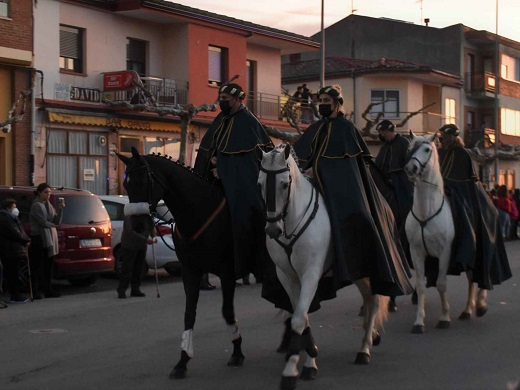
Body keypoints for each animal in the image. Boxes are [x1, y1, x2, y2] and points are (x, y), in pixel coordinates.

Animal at [118, 147, 246, 378]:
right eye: (126, 185)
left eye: (141, 182)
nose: (137, 225)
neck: (199, 211)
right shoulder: (190, 270)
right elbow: (189, 314)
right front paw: (182, 360)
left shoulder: (227, 272)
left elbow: (227, 312)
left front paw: (237, 351)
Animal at [258, 144, 386, 390]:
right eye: (260, 183)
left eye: (284, 184)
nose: (272, 230)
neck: (291, 222)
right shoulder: (288, 277)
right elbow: (302, 316)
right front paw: (309, 358)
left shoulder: (311, 274)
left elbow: (299, 318)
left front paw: (292, 371)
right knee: (368, 298)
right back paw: (371, 335)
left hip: (363, 269)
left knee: (374, 300)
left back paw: (364, 349)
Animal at [406, 133, 488, 334]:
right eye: (410, 148)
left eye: (427, 149)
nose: (411, 168)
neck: (426, 212)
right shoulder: (416, 251)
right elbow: (420, 286)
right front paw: (419, 322)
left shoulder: (445, 252)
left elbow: (441, 284)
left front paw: (444, 317)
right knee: (471, 278)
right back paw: (467, 310)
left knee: (478, 275)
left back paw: (479, 305)